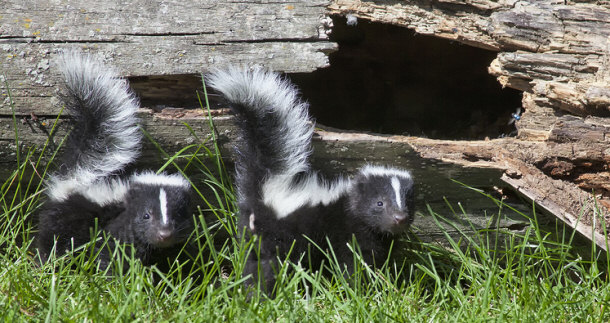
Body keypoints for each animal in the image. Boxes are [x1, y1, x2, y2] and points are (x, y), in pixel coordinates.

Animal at [36, 52, 192, 270]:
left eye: (178, 215)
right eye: (146, 215)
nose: (164, 234)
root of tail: (80, 174)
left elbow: (171, 259)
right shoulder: (115, 226)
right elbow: (112, 253)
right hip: (65, 217)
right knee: (54, 242)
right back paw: (48, 264)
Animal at [208, 66, 414, 292]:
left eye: (407, 203)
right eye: (379, 203)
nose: (399, 218)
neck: (349, 204)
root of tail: (266, 187)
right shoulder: (347, 231)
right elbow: (352, 262)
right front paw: (357, 287)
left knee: (252, 259)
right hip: (274, 235)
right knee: (268, 264)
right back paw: (260, 291)